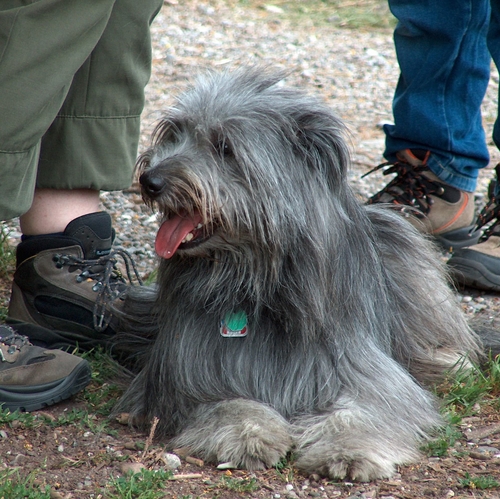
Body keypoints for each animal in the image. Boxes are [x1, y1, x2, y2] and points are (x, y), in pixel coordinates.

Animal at [115, 68, 482, 482]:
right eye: (174, 133)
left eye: (224, 147)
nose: (150, 180)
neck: (252, 284)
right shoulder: (187, 377)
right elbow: (227, 403)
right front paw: (249, 434)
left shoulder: (359, 369)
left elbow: (367, 409)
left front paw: (349, 450)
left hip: (405, 249)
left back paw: (447, 361)